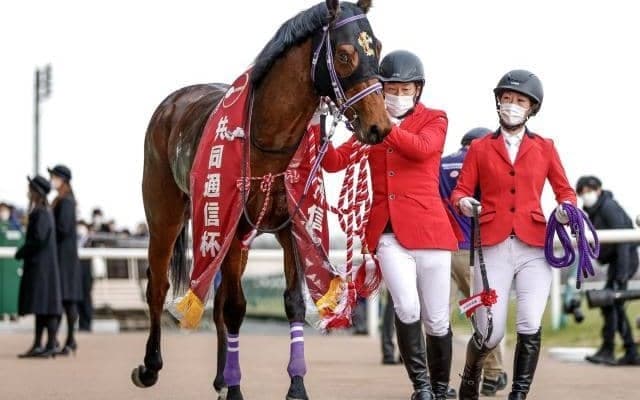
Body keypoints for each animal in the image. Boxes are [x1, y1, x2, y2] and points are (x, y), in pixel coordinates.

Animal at [131, 1, 392, 399]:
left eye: (375, 47)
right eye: (345, 55)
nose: (380, 126)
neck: (268, 142)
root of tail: (172, 104)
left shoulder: (291, 225)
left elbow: (293, 302)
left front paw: (296, 386)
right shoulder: (232, 225)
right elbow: (236, 308)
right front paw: (238, 390)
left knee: (217, 302)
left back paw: (222, 378)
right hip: (166, 213)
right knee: (158, 284)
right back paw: (151, 366)